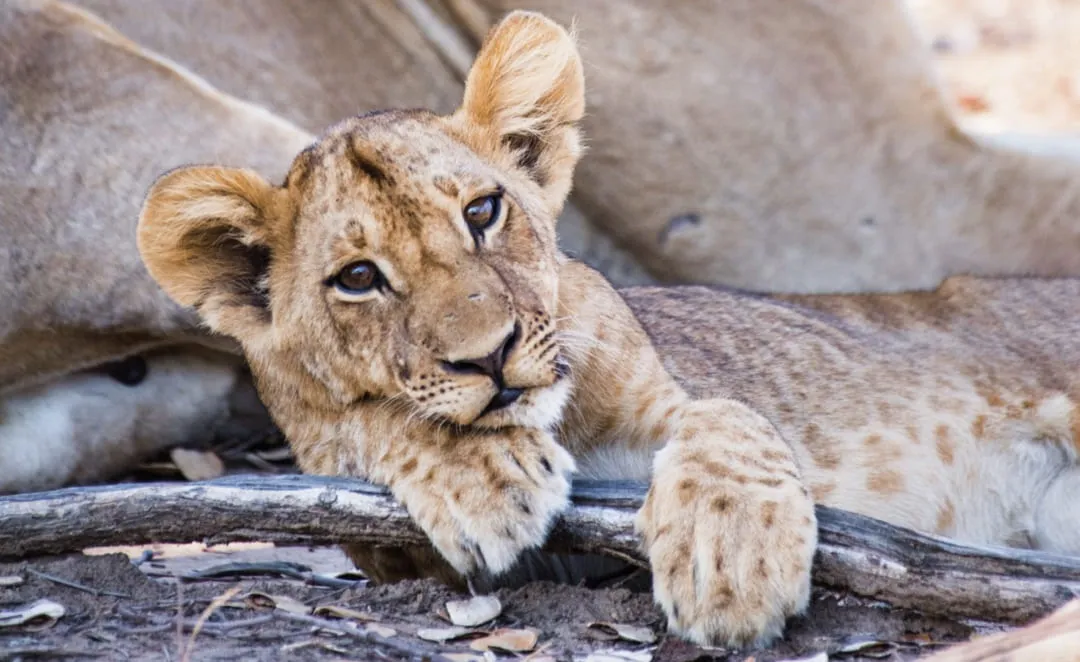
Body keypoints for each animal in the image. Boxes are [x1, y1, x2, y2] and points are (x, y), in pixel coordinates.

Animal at [137, 10, 1080, 646]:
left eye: (483, 211)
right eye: (359, 279)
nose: (493, 358)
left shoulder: (670, 394)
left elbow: (730, 419)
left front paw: (731, 556)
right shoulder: (377, 543)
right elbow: (378, 422)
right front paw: (479, 471)